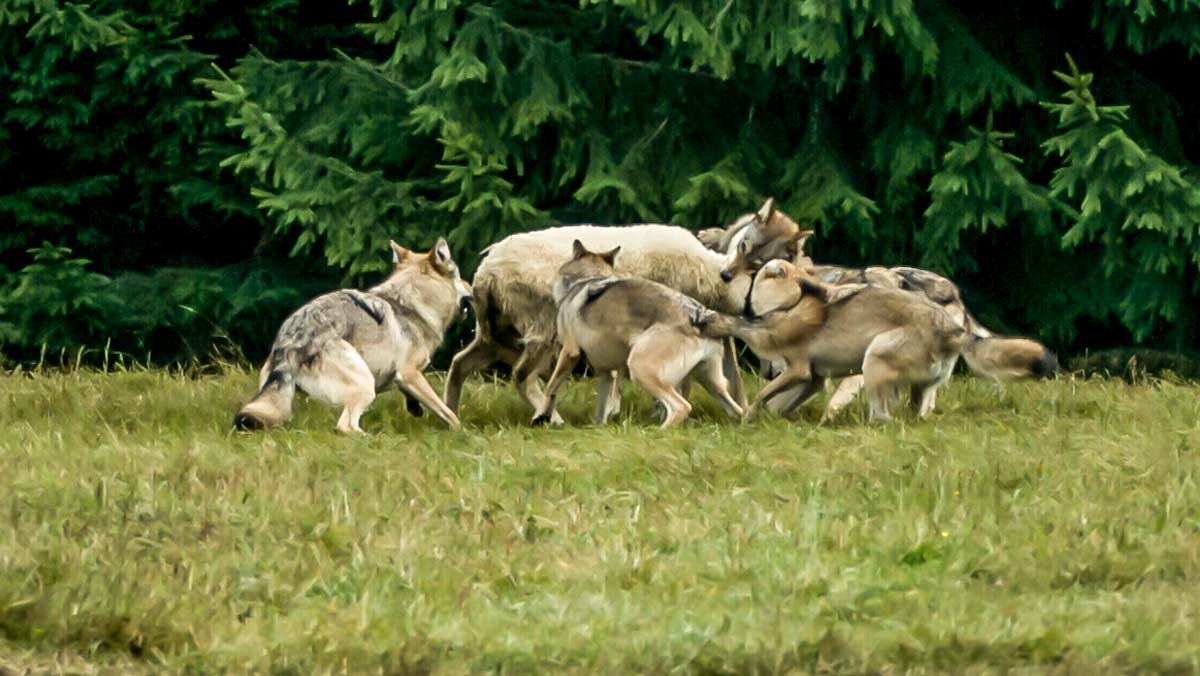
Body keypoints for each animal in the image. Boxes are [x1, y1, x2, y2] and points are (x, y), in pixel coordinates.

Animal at [234, 237, 472, 434]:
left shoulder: (402, 377)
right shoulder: (409, 373)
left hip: (278, 400)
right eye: (460, 275)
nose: (471, 286)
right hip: (365, 385)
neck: (413, 303)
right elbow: (449, 414)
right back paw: (375, 439)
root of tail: (292, 341)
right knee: (344, 427)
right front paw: (462, 434)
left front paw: (415, 407)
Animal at [532, 240, 744, 425]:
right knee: (738, 411)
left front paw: (540, 417)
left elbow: (550, 388)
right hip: (710, 382)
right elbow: (602, 407)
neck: (588, 278)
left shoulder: (570, 352)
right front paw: (599, 429)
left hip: (640, 368)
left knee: (681, 407)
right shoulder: (607, 371)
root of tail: (700, 315)